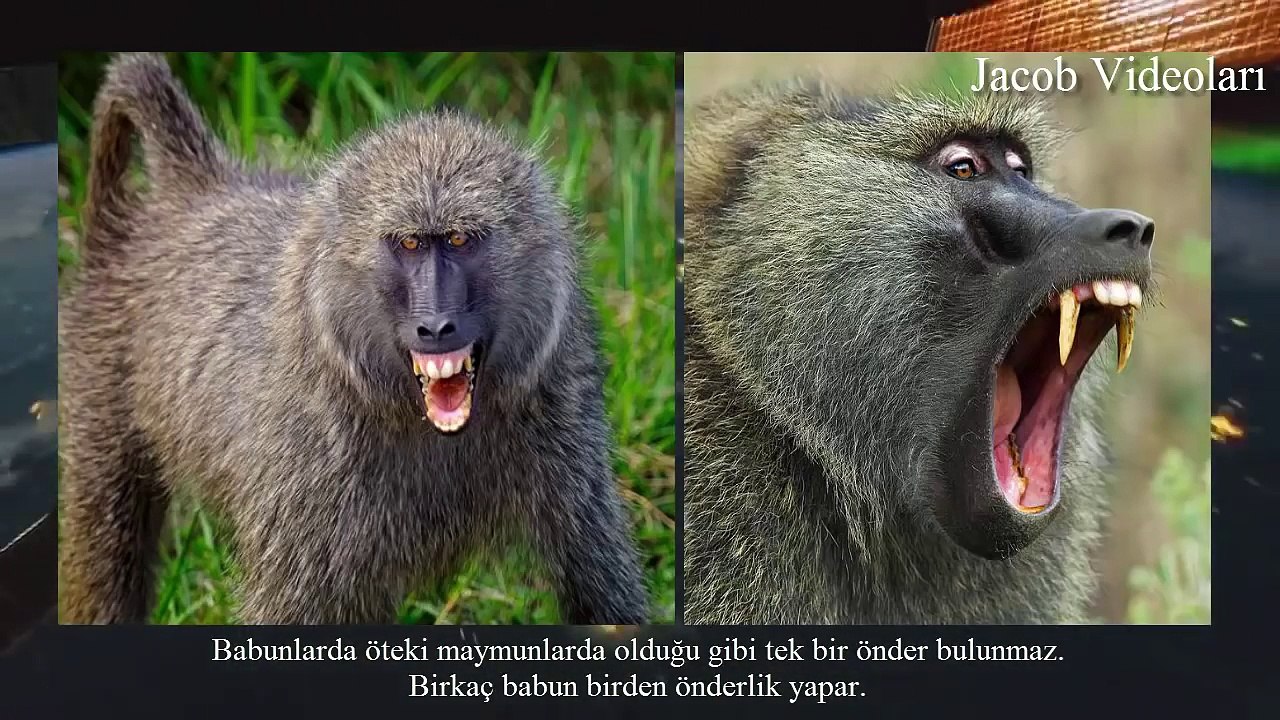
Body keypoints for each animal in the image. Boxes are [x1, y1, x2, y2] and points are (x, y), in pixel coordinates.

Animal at [57, 53, 648, 625]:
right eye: (408, 243)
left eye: (459, 239)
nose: (436, 327)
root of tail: (194, 192)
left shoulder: (560, 417)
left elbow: (601, 590)